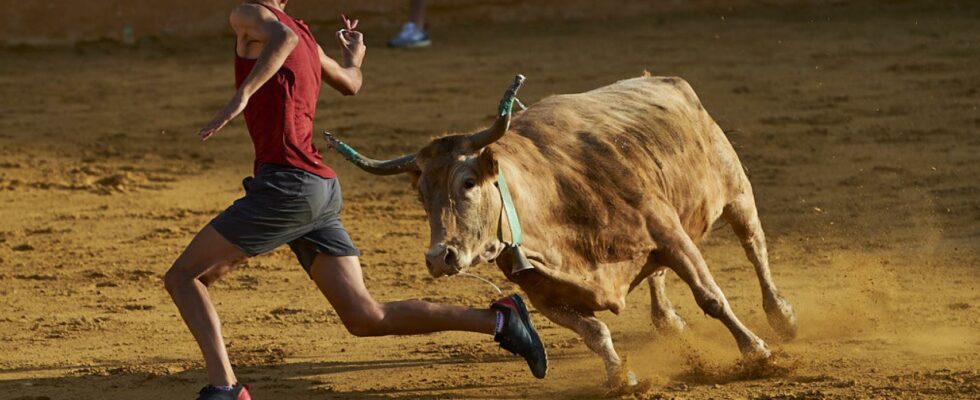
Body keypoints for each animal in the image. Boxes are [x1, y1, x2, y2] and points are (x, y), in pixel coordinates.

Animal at [326, 74, 800, 384]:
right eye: (421, 195)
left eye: (468, 182)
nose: (439, 257)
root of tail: (666, 81)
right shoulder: (546, 296)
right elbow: (595, 332)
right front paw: (620, 376)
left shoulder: (671, 235)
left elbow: (711, 298)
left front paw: (757, 352)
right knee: (658, 276)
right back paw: (667, 321)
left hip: (736, 191)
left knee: (754, 248)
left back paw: (782, 316)